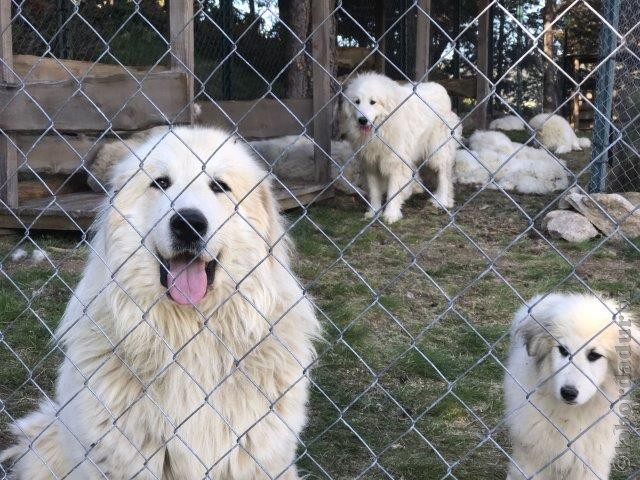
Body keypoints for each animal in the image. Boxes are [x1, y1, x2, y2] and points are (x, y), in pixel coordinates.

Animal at [340, 71, 460, 223]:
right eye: (357, 102)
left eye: (373, 102)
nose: (362, 120)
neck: (381, 129)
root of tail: (440, 87)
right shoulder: (371, 164)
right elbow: (374, 191)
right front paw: (373, 212)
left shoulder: (396, 163)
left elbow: (393, 191)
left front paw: (391, 214)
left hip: (438, 150)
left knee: (443, 174)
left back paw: (442, 200)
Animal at [504, 292, 640, 480]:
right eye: (563, 350)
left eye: (594, 355)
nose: (568, 392)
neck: (571, 414)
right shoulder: (532, 457)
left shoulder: (589, 463)